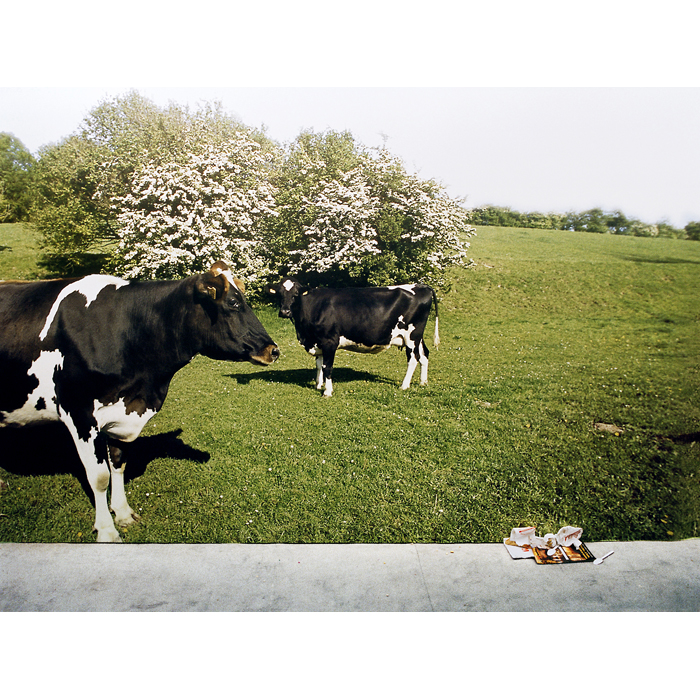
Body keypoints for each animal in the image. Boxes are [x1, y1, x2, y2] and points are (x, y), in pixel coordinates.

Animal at [0, 262, 278, 540]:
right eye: (233, 303)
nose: (273, 350)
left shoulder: (123, 410)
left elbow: (118, 464)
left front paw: (122, 513)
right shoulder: (78, 412)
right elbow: (99, 476)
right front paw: (106, 530)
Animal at [270, 278, 438, 400]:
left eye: (295, 294)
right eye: (279, 294)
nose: (284, 312)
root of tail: (421, 286)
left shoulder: (329, 341)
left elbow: (327, 367)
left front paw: (327, 391)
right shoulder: (318, 342)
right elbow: (318, 365)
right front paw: (318, 384)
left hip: (412, 336)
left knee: (413, 359)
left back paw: (404, 385)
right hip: (417, 337)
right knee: (424, 355)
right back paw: (423, 382)